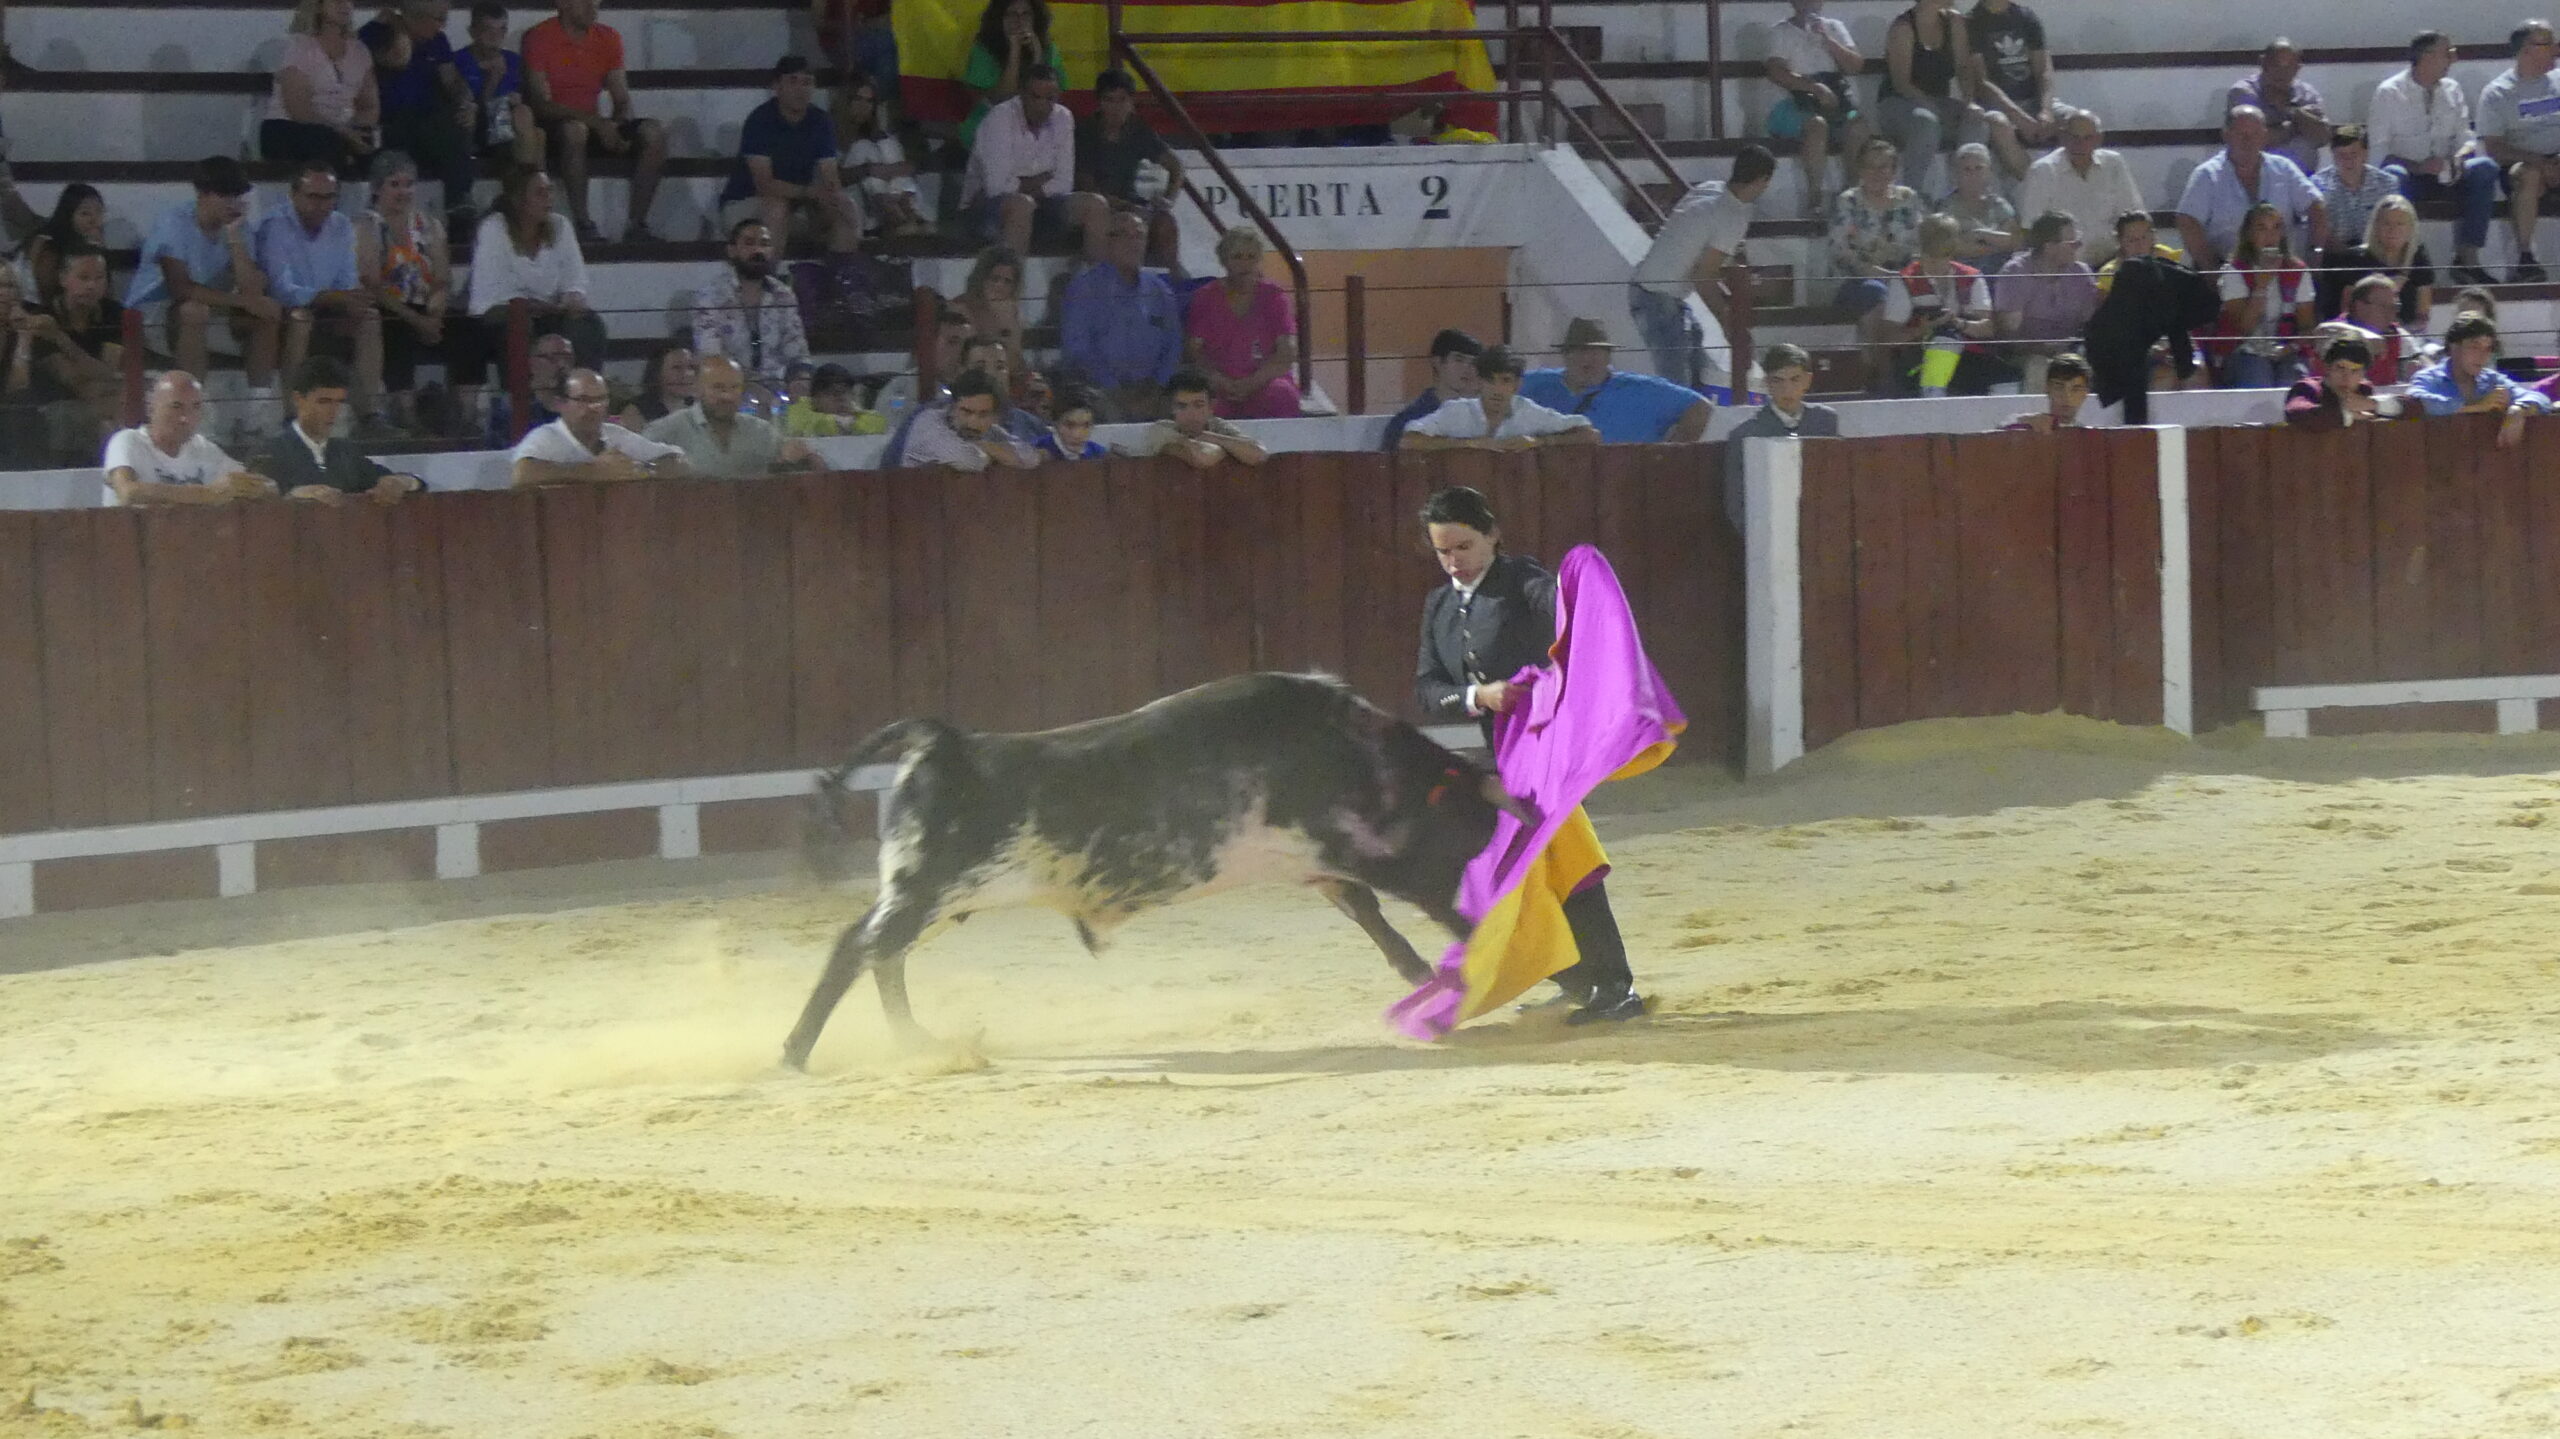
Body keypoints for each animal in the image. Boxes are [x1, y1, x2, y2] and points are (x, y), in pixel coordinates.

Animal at [780, 672, 1535, 1069]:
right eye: (1484, 841)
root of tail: (945, 742)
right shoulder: (1374, 856)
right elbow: (1430, 908)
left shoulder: (1320, 866)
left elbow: (1371, 916)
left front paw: (1424, 976)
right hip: (929, 891)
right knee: (862, 947)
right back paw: (796, 1053)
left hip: (940, 898)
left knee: (875, 950)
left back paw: (918, 1044)